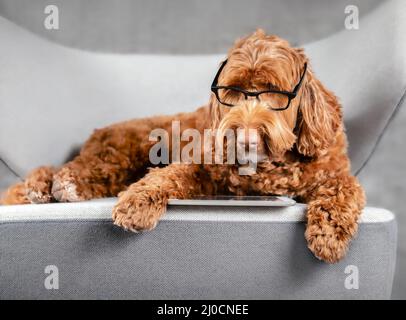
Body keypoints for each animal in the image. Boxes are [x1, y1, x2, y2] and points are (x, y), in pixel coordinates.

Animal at [0, 30, 366, 262]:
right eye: (232, 91)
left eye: (274, 91)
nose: (244, 137)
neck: (267, 167)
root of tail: (95, 134)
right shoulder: (202, 166)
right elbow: (166, 176)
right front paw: (136, 203)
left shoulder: (333, 174)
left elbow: (343, 192)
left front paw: (328, 236)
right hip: (122, 152)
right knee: (77, 168)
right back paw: (51, 186)